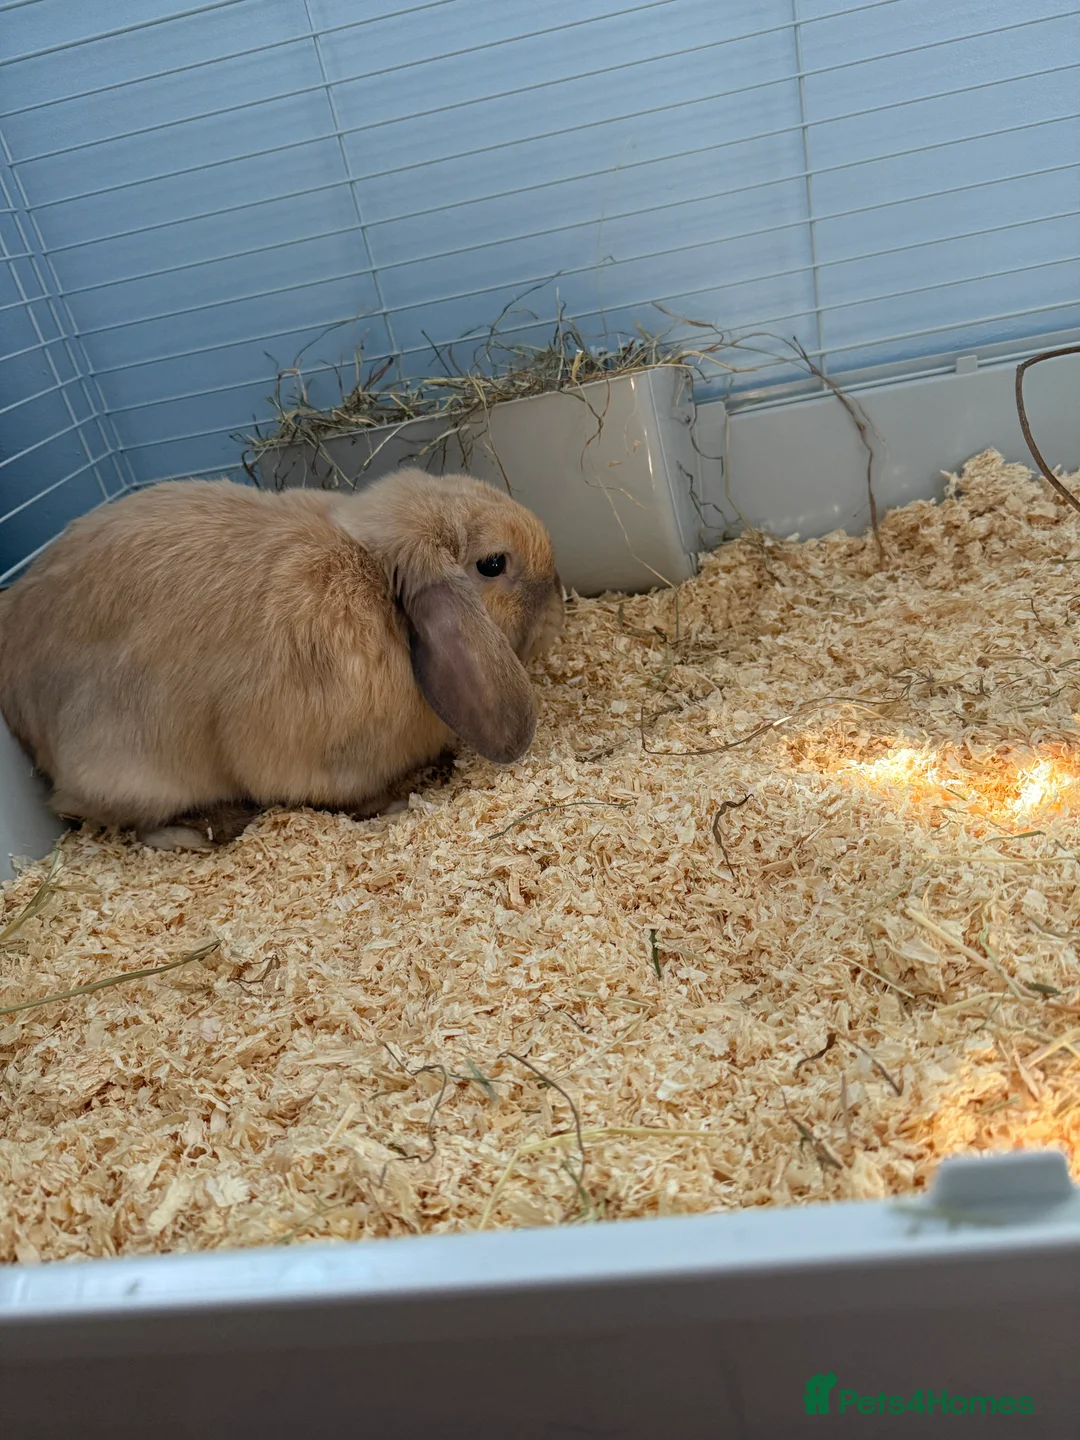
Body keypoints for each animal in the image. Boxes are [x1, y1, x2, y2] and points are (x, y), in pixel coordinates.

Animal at [0, 467, 565, 851]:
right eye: (493, 564)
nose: (557, 604)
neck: (378, 584)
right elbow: (353, 797)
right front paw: (396, 803)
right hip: (131, 775)